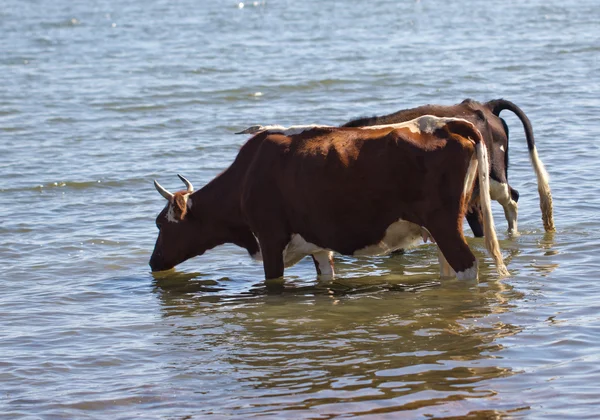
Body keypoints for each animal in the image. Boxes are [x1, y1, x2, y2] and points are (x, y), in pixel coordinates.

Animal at [152, 114, 508, 282]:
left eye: (161, 224)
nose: (153, 262)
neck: (247, 175)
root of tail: (445, 123)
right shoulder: (318, 246)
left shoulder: (270, 240)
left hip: (444, 225)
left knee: (467, 266)